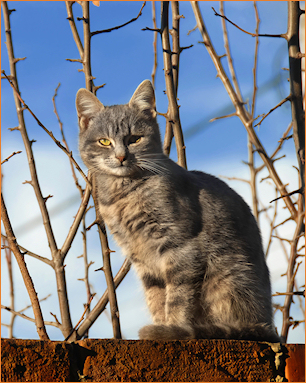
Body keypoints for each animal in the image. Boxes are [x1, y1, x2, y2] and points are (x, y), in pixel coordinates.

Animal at [76, 79, 280, 344]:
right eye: (104, 141)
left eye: (134, 139)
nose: (121, 156)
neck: (124, 193)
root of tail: (267, 325)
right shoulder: (142, 259)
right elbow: (156, 298)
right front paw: (162, 325)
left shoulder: (181, 247)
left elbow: (177, 298)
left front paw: (171, 329)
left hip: (230, 275)